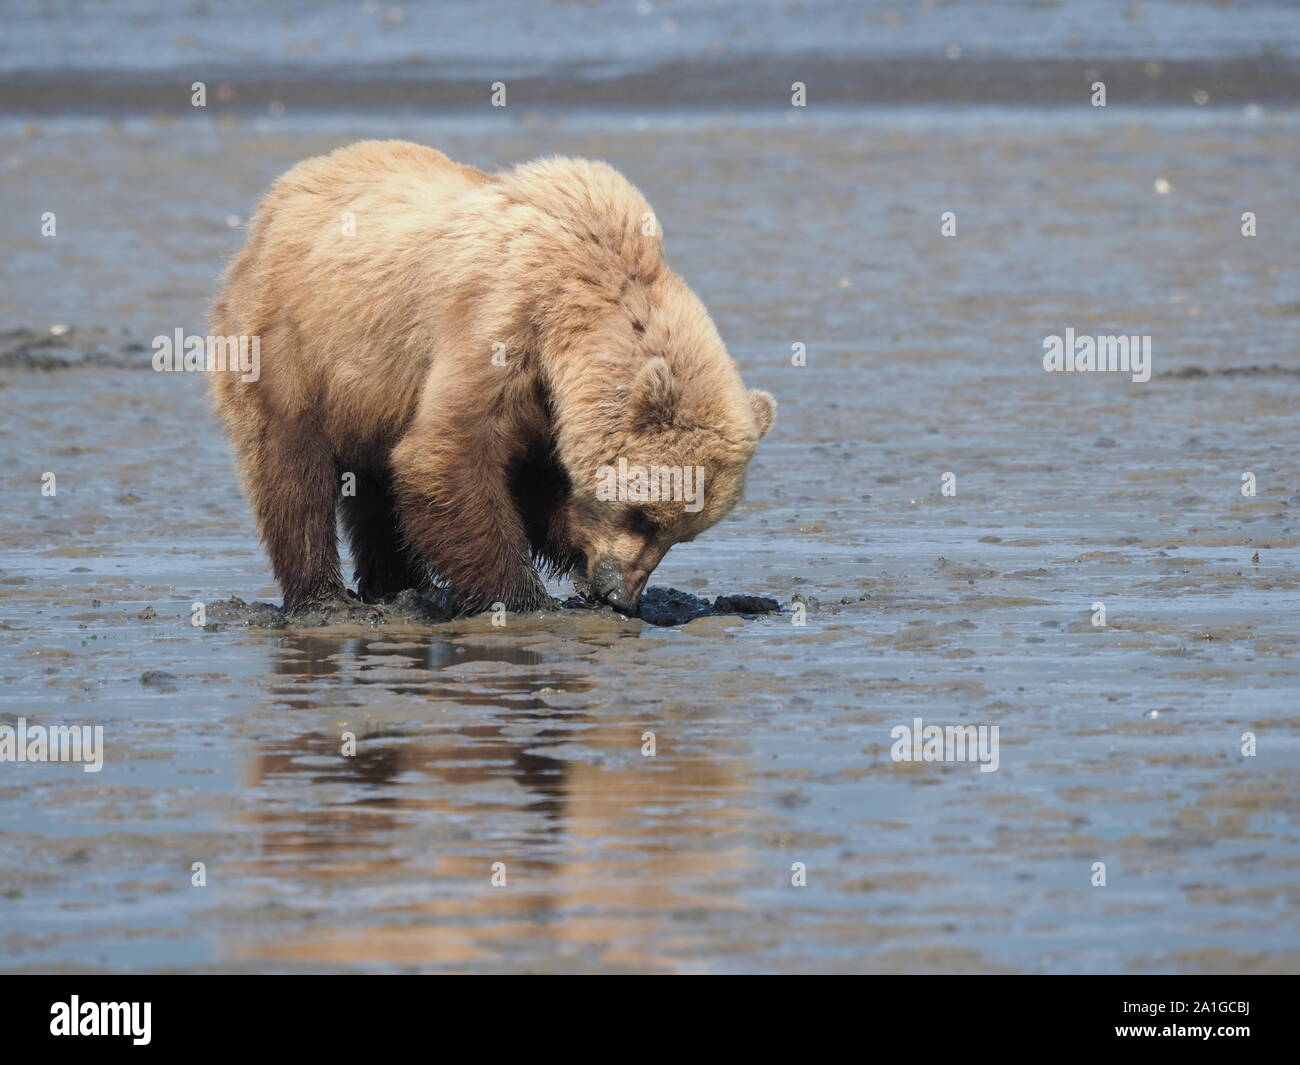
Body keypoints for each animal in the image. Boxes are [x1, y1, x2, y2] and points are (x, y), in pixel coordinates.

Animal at [210, 143, 769, 616]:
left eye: (681, 533)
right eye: (644, 515)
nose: (621, 595)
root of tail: (277, 200)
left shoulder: (550, 400)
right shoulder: (501, 324)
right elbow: (447, 452)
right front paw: (525, 600)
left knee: (373, 484)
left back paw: (399, 585)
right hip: (294, 341)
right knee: (292, 467)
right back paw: (324, 598)